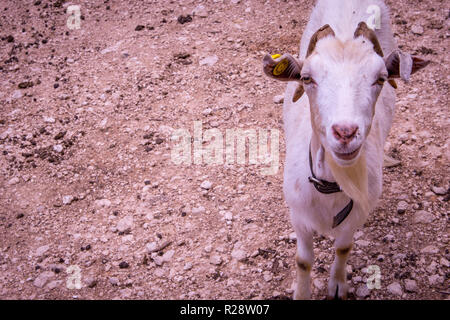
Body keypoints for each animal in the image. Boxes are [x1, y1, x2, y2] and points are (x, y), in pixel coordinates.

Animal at [264, 0, 428, 300]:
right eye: (306, 78)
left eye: (381, 78)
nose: (345, 132)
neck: (332, 186)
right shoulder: (298, 216)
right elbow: (303, 260)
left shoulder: (357, 216)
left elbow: (343, 248)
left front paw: (338, 285)